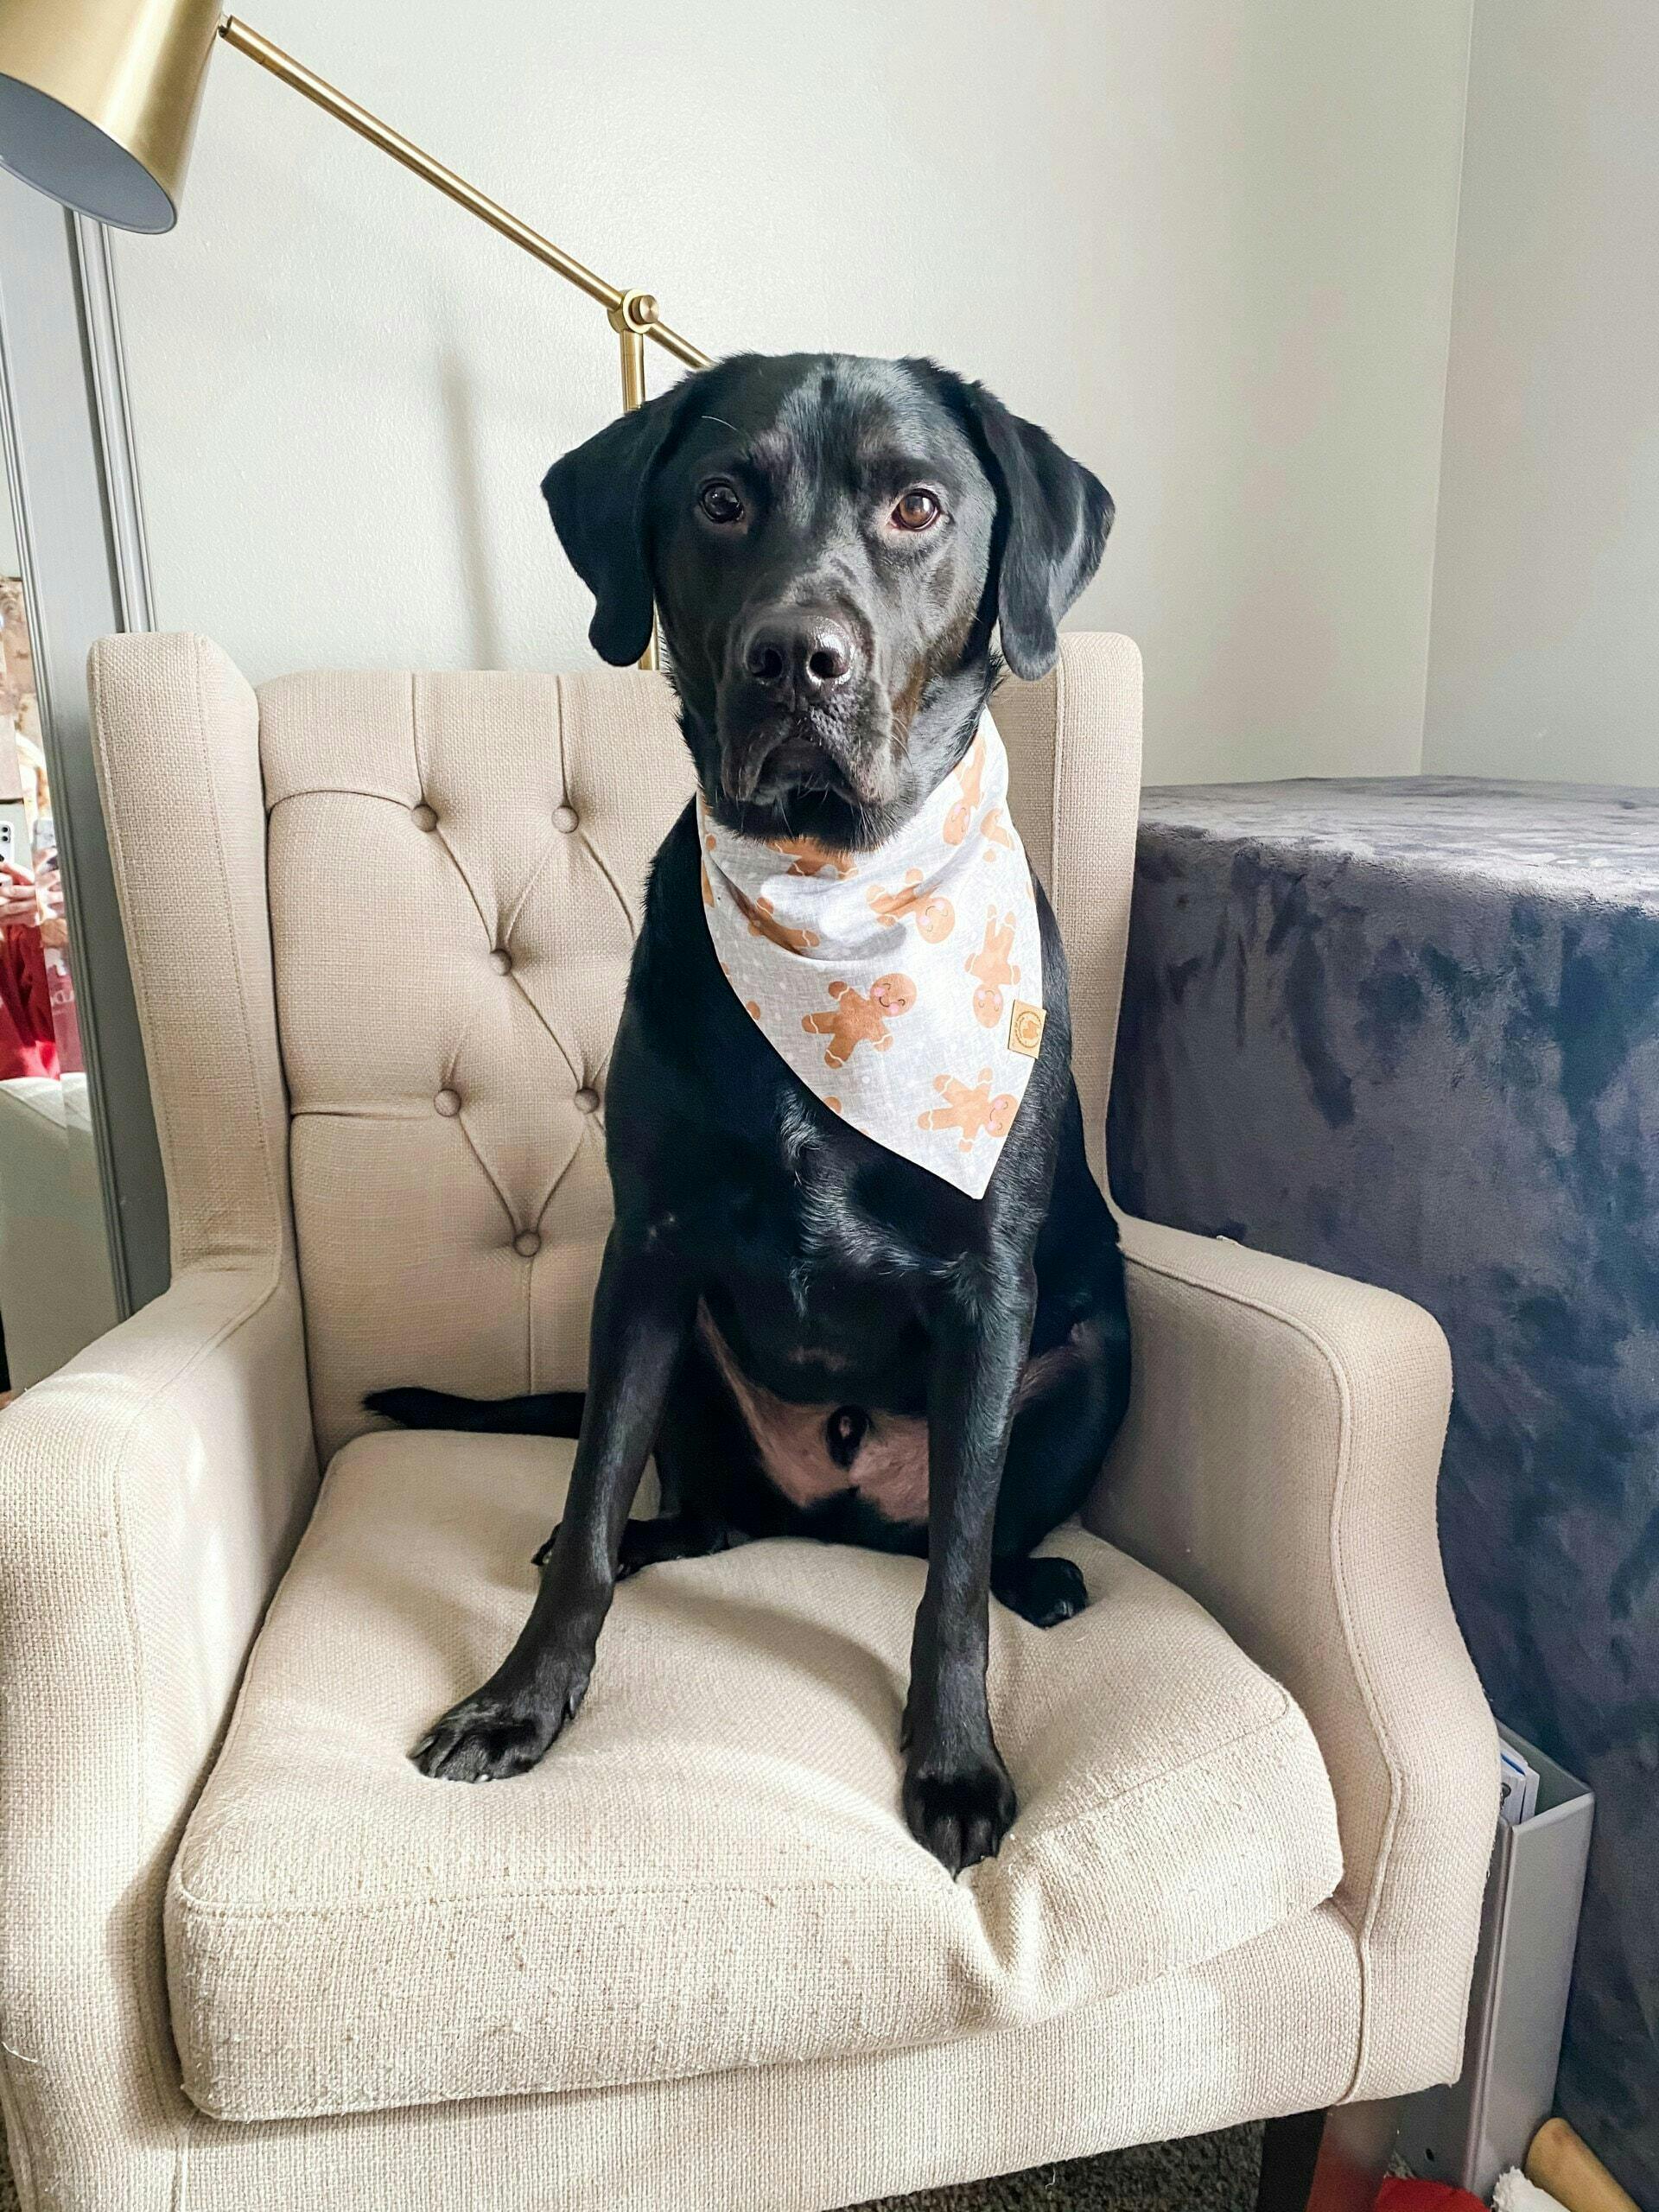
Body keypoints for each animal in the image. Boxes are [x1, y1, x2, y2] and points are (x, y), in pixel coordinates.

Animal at [368, 353, 1131, 1873]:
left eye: (918, 506)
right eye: (721, 500)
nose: (797, 658)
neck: (830, 907)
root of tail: (834, 1514)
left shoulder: (992, 1289)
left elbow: (954, 1578)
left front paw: (955, 1759)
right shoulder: (647, 1255)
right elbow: (591, 1501)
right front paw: (522, 1700)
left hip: (1096, 1355)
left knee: (954, 1544)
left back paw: (1043, 1579)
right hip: (688, 1369)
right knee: (695, 1514)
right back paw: (662, 1537)